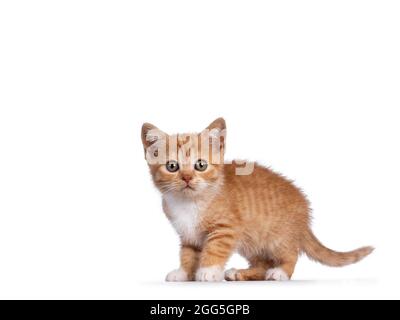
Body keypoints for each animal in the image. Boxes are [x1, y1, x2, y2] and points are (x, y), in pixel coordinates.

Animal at [141, 117, 372, 280]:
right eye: (172, 166)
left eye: (200, 165)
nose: (187, 178)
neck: (189, 202)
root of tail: (305, 215)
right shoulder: (188, 235)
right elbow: (188, 254)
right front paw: (184, 272)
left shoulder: (226, 228)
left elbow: (214, 248)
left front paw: (207, 271)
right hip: (251, 241)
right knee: (262, 263)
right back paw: (240, 273)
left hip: (277, 237)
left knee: (290, 254)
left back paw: (280, 272)